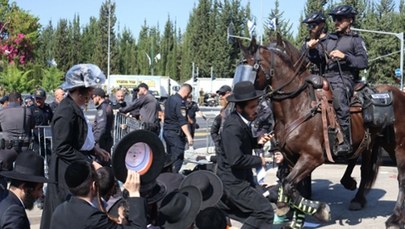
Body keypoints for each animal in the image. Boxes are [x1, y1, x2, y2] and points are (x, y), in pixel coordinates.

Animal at [238, 35, 404, 227]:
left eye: (253, 67)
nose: (238, 96)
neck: (297, 106)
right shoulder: (291, 158)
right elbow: (291, 187)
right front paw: (291, 212)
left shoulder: (312, 157)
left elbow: (288, 185)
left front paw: (319, 210)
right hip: (372, 143)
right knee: (365, 170)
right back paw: (357, 197)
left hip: (397, 146)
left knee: (401, 178)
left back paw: (396, 218)